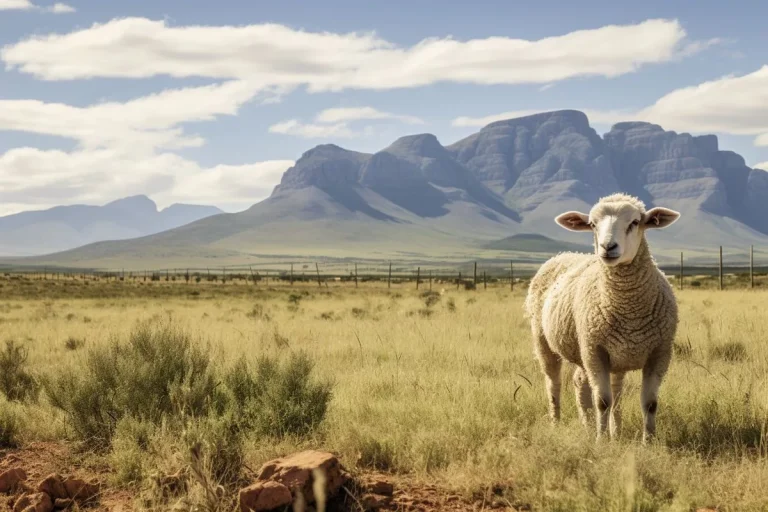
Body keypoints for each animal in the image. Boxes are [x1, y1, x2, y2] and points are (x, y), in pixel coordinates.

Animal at [524, 193, 680, 442]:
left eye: (635, 222)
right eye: (592, 224)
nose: (608, 247)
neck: (629, 309)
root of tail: (563, 255)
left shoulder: (660, 352)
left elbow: (650, 403)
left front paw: (648, 442)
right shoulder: (595, 351)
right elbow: (603, 401)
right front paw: (601, 441)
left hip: (609, 353)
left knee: (589, 384)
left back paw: (604, 429)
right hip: (546, 342)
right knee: (553, 384)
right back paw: (557, 423)